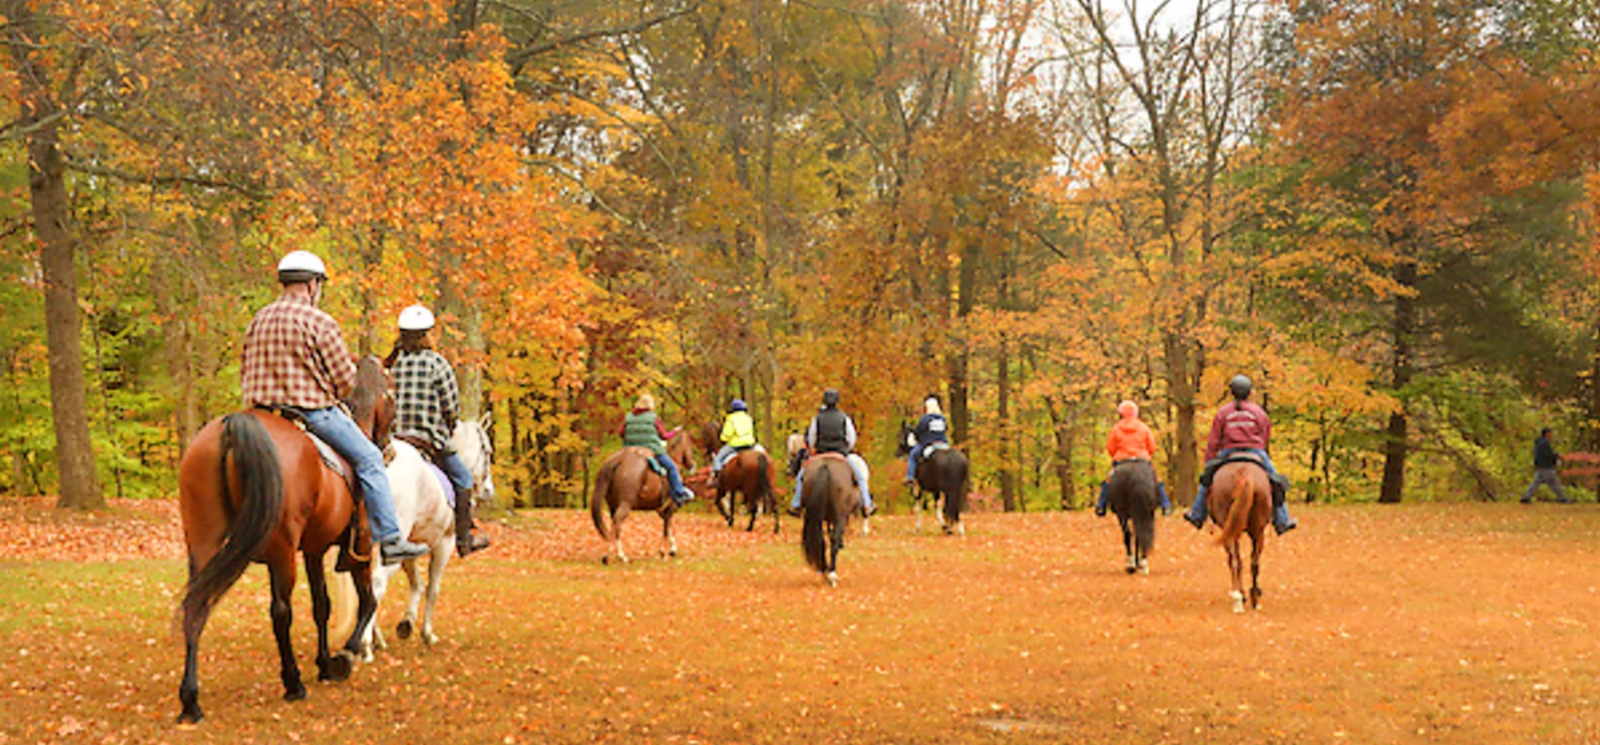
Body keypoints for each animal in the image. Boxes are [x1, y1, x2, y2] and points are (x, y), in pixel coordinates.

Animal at [173, 358, 392, 725]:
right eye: (393, 392)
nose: (388, 449)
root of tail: (233, 426)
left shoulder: (314, 550)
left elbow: (322, 605)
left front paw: (324, 664)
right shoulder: (359, 548)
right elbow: (367, 601)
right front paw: (343, 657)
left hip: (204, 542)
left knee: (196, 606)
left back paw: (190, 701)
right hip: (282, 550)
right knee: (280, 612)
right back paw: (293, 683)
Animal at [585, 431, 691, 565]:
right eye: (691, 445)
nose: (692, 464)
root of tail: (618, 459)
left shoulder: (661, 509)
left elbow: (668, 525)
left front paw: (672, 550)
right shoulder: (671, 506)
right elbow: (667, 527)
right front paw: (664, 552)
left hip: (612, 506)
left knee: (613, 525)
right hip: (625, 504)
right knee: (617, 522)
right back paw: (617, 555)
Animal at [800, 454, 864, 588]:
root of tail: (826, 466)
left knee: (820, 540)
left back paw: (824, 570)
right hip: (840, 516)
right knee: (834, 540)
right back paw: (832, 574)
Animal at [1203, 457, 1267, 613]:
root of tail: (1243, 471)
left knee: (1234, 561)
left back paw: (1239, 597)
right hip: (1258, 532)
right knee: (1253, 562)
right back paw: (1253, 599)